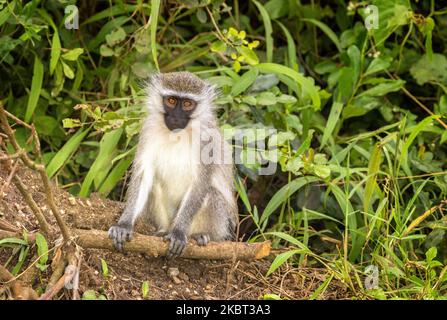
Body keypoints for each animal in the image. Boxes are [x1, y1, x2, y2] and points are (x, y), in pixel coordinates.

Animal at [108, 72, 238, 258]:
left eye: (187, 103)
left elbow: (200, 183)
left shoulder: (207, 139)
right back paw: (163, 231)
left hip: (220, 224)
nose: (176, 117)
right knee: (154, 183)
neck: (178, 134)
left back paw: (200, 235)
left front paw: (178, 233)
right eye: (171, 100)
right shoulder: (148, 129)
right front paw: (124, 224)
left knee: (212, 194)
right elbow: (144, 174)